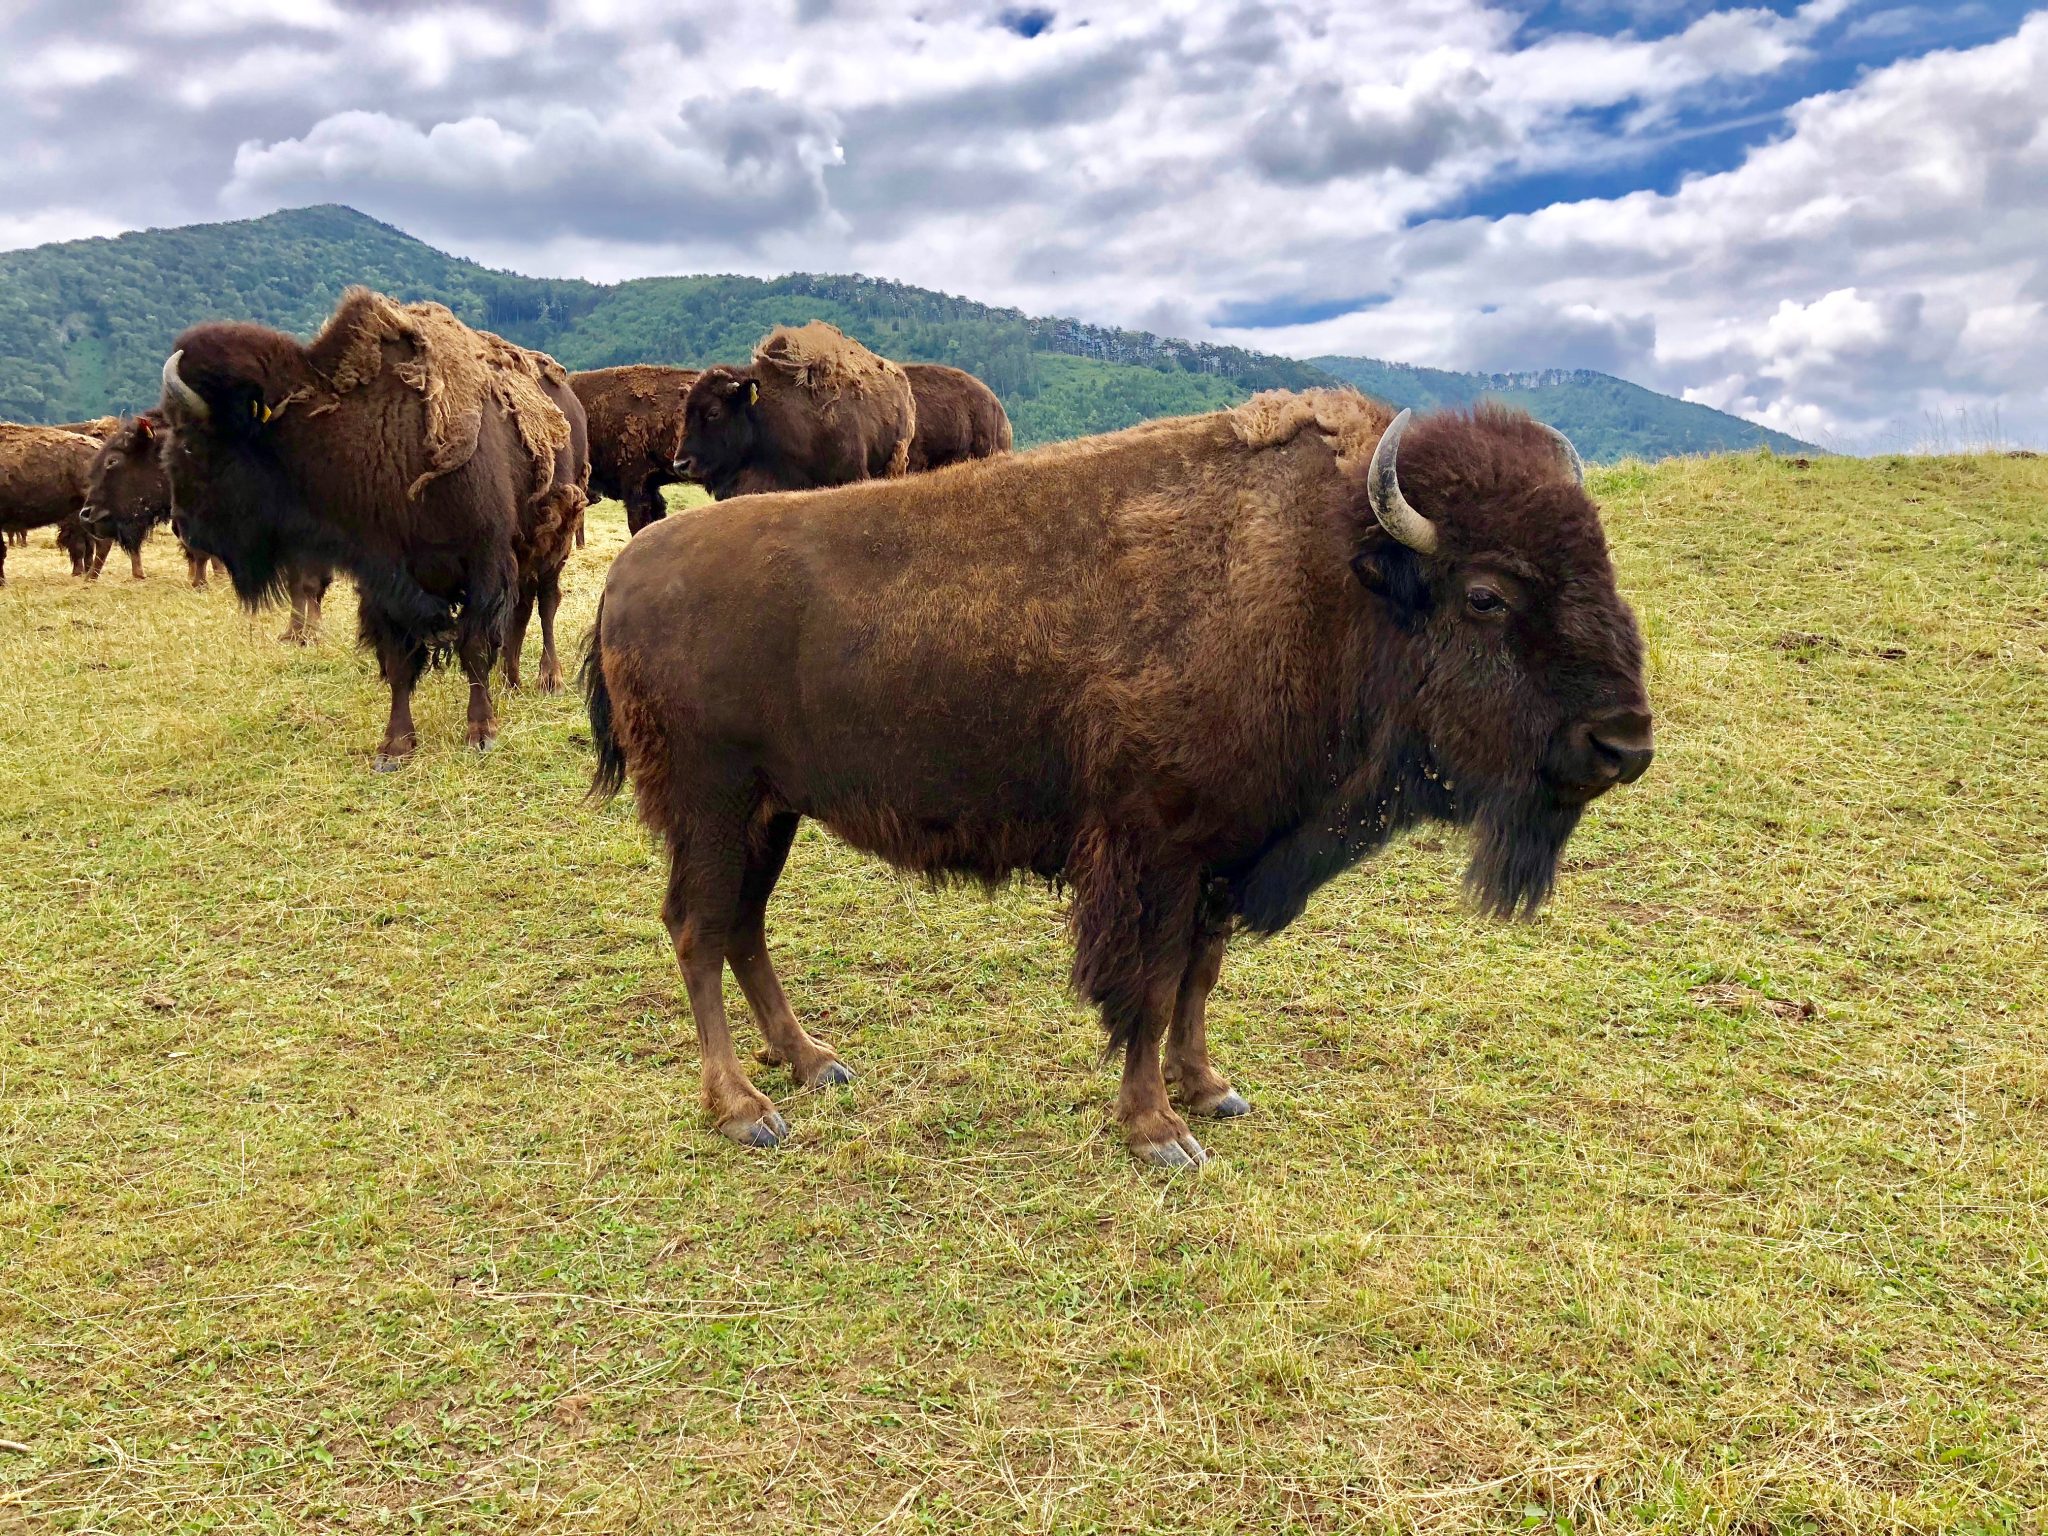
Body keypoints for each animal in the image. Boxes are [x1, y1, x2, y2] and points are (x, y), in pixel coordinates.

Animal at [161, 286, 585, 765]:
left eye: (191, 443)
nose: (183, 525)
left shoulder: (484, 560)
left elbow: (474, 646)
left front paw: (481, 732)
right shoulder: (384, 578)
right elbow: (399, 659)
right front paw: (395, 746)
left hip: (556, 539)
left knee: (546, 603)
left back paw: (549, 679)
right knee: (522, 609)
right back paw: (511, 681)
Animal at [585, 393, 1654, 1163]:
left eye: (1601, 560)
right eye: (1486, 595)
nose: (1624, 744)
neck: (1331, 577)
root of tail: (627, 570)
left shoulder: (1226, 850)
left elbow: (1197, 978)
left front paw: (1211, 1090)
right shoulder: (1155, 853)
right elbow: (1145, 985)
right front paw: (1157, 1132)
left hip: (772, 812)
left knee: (742, 926)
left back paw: (813, 1064)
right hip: (712, 804)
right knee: (697, 928)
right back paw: (744, 1109)